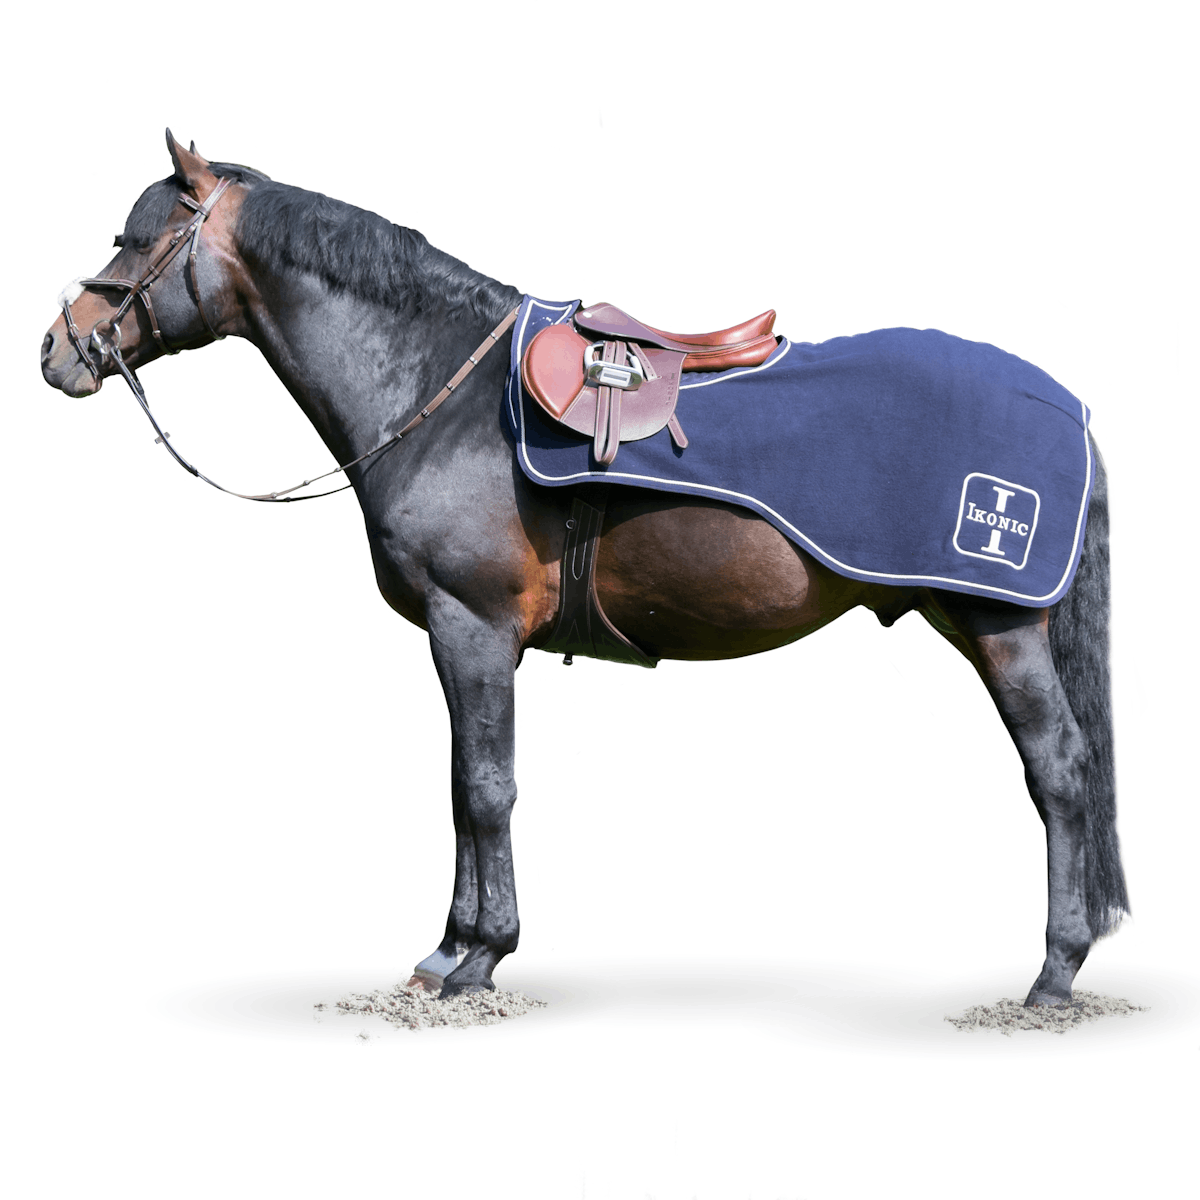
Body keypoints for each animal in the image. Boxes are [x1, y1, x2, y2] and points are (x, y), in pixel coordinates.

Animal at [41, 131, 1128, 1007]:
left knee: (1059, 772)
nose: (57, 350)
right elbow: (459, 783)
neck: (444, 386)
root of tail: (1067, 406)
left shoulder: (471, 626)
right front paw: (449, 950)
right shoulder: (467, 642)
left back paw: (1053, 972)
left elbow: (485, 787)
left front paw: (477, 958)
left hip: (999, 626)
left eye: (132, 240)